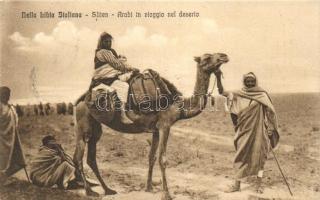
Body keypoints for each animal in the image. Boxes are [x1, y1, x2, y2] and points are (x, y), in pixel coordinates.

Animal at [73, 52, 228, 199]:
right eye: (207, 58)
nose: (223, 56)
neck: (178, 105)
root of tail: (80, 100)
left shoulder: (156, 130)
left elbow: (151, 157)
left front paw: (149, 188)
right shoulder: (165, 125)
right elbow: (162, 159)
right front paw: (166, 194)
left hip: (95, 127)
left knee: (89, 158)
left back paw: (107, 190)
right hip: (84, 124)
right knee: (79, 157)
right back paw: (90, 191)